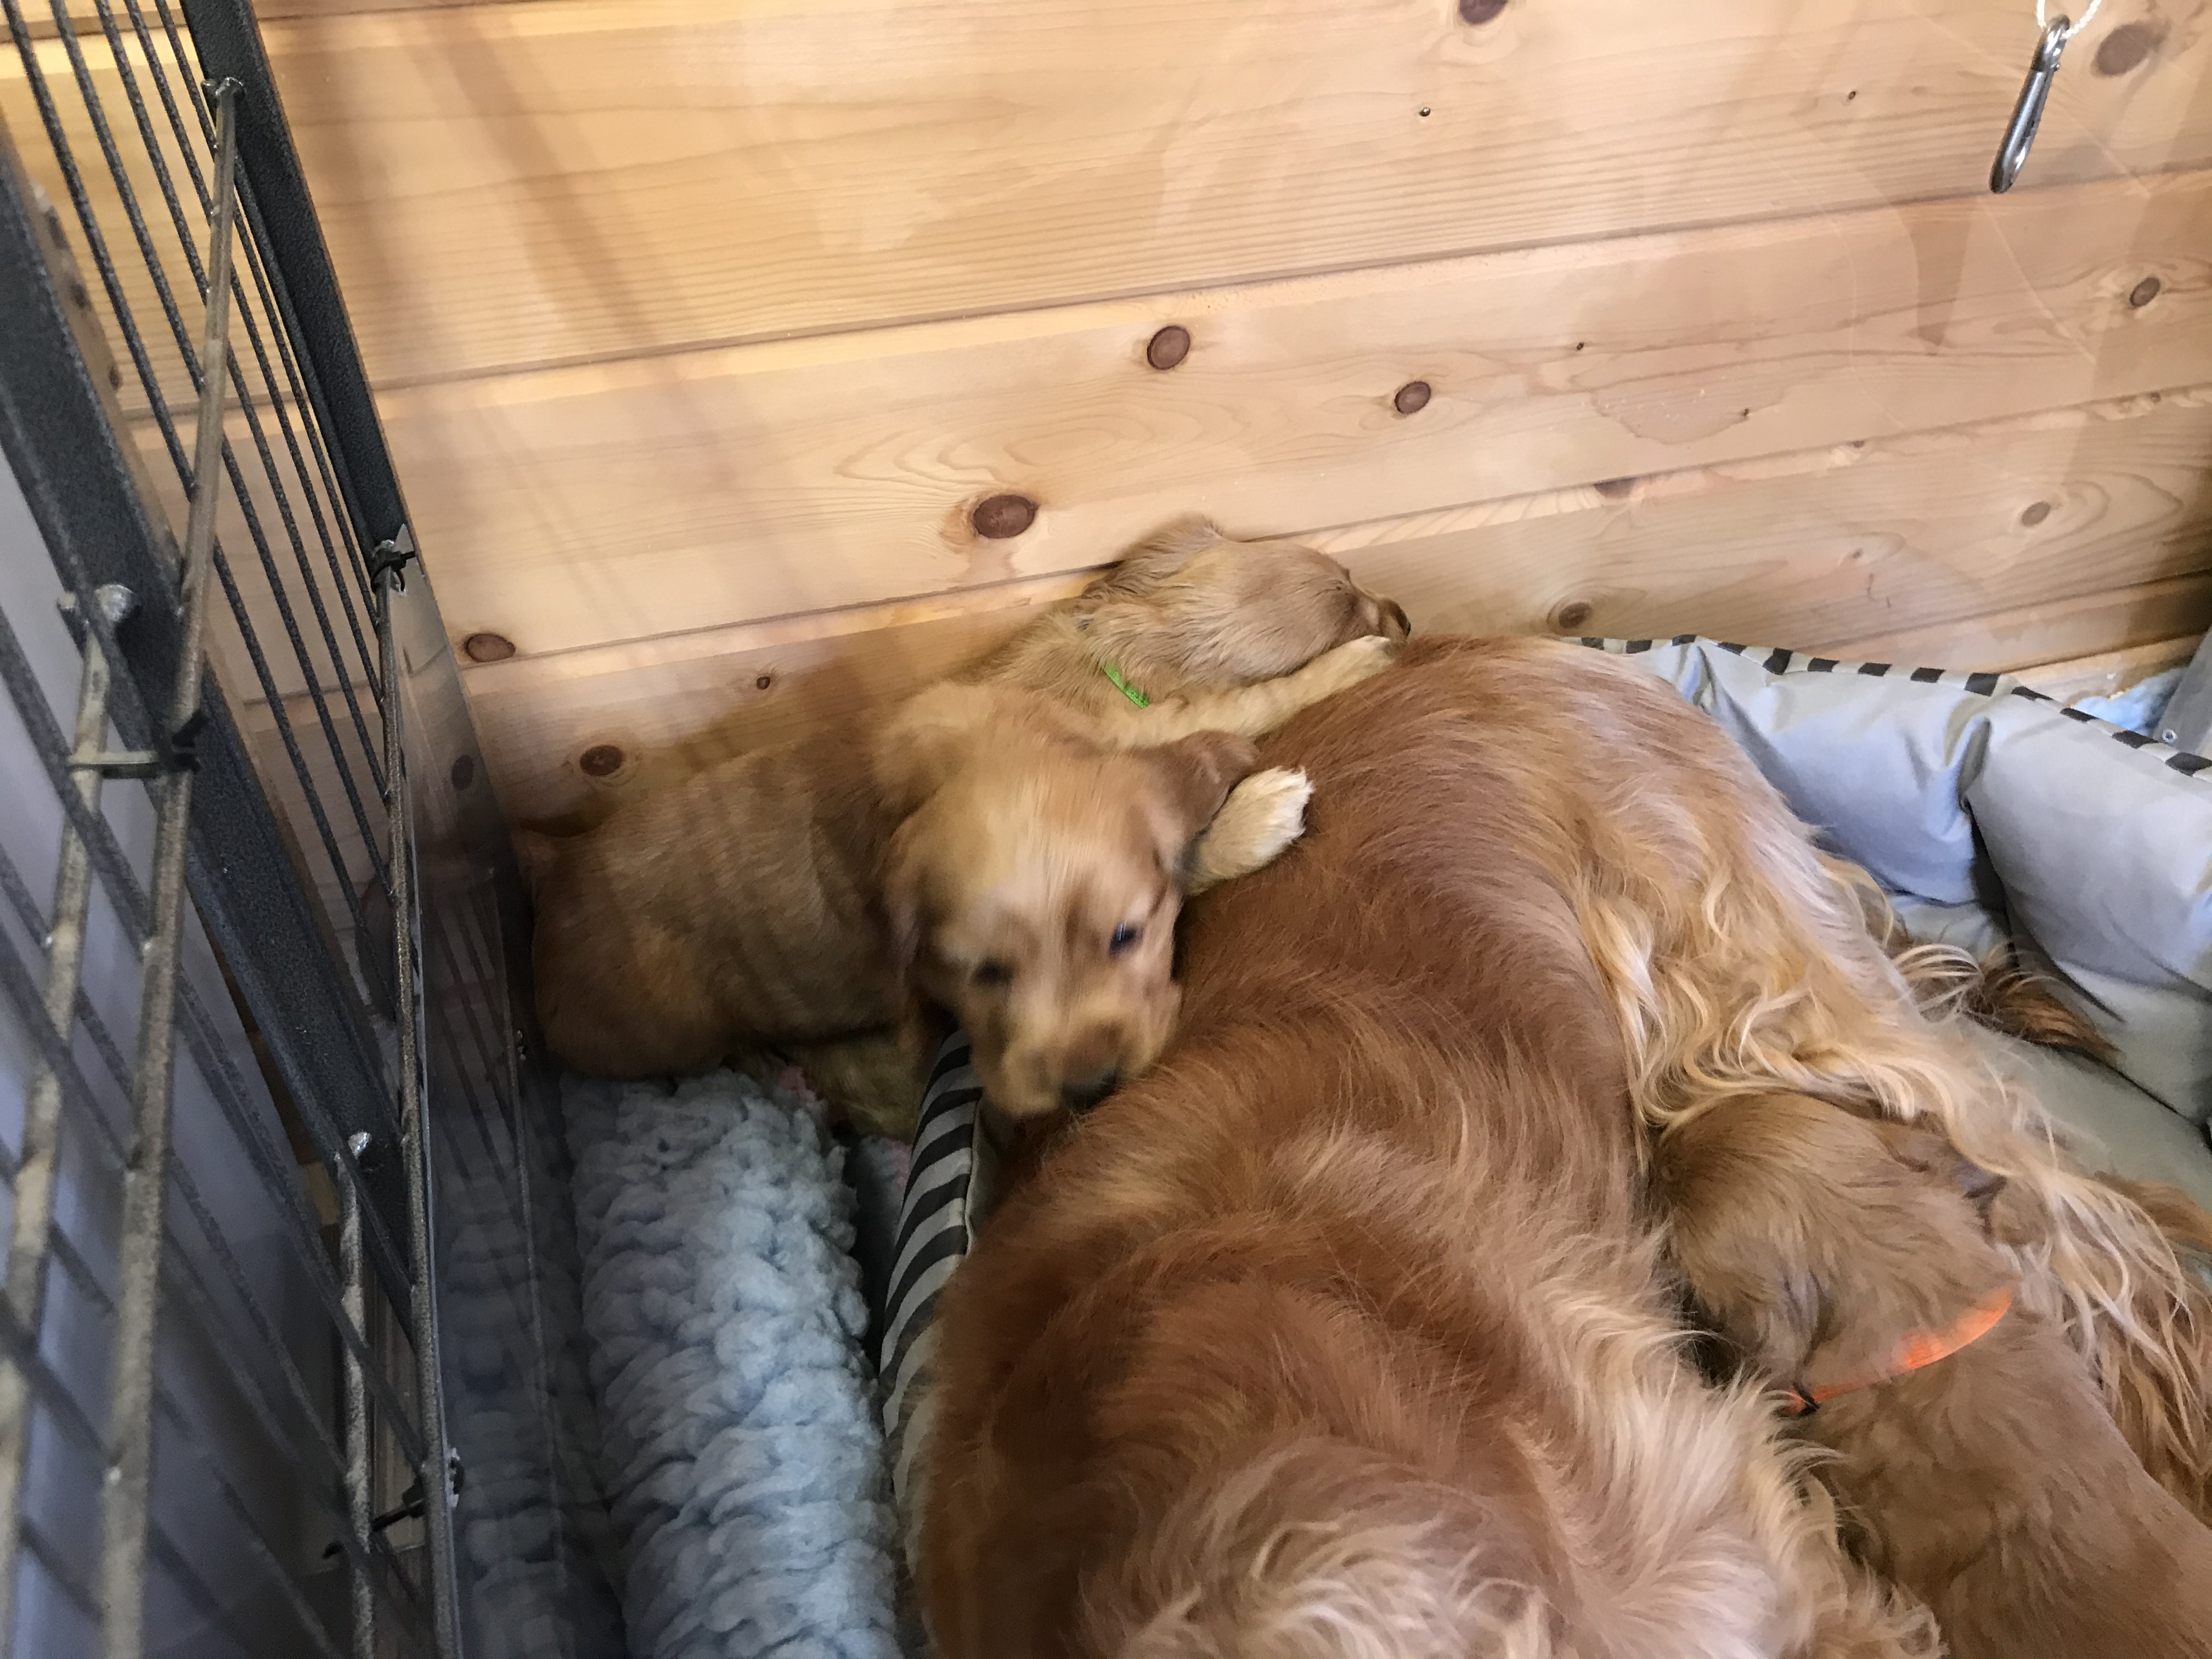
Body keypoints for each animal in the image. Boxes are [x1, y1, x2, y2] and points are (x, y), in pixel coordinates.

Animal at [524, 520, 1409, 1125]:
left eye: (1350, 568)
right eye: (1351, 594)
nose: (1401, 613)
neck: (1114, 660)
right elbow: (1237, 736)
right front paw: (1278, 779)